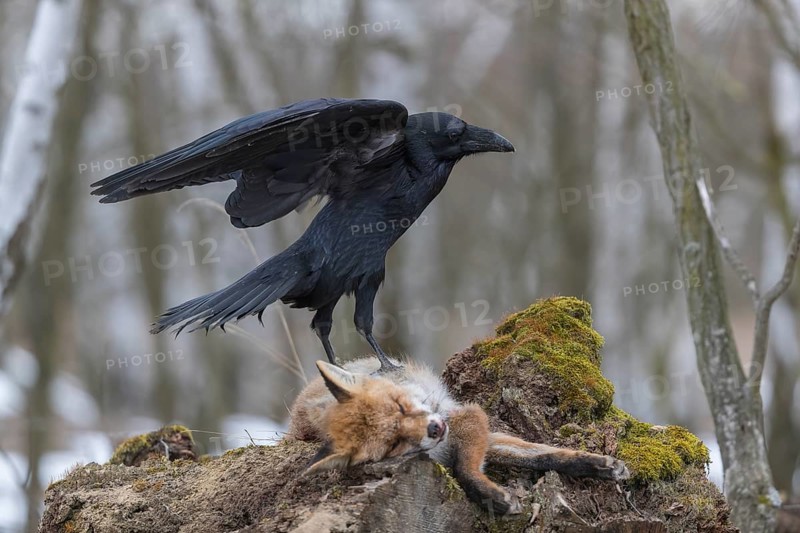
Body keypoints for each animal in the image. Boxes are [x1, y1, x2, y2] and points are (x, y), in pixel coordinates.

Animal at [288, 357, 630, 514]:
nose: (435, 429)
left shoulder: (467, 417)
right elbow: (466, 469)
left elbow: (542, 454)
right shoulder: (462, 430)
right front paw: (492, 496)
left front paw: (597, 464)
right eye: (394, 442)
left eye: (401, 406)